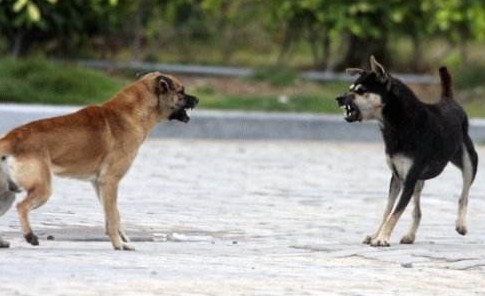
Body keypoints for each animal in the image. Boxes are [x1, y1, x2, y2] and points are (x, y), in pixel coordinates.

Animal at [0, 72, 199, 250]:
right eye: (181, 91)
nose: (197, 100)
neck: (131, 113)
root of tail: (10, 139)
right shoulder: (110, 181)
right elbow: (113, 217)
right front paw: (118, 244)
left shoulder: (100, 185)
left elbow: (114, 215)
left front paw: (123, 240)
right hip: (42, 190)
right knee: (22, 207)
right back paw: (30, 235)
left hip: (7, 195)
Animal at [336, 56, 476, 246]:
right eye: (350, 89)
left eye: (360, 91)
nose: (339, 98)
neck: (396, 124)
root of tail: (449, 100)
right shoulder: (396, 178)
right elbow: (387, 211)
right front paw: (376, 235)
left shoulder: (408, 179)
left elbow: (395, 213)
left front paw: (382, 238)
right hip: (419, 181)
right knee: (417, 211)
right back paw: (410, 235)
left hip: (468, 162)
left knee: (464, 194)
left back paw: (461, 224)